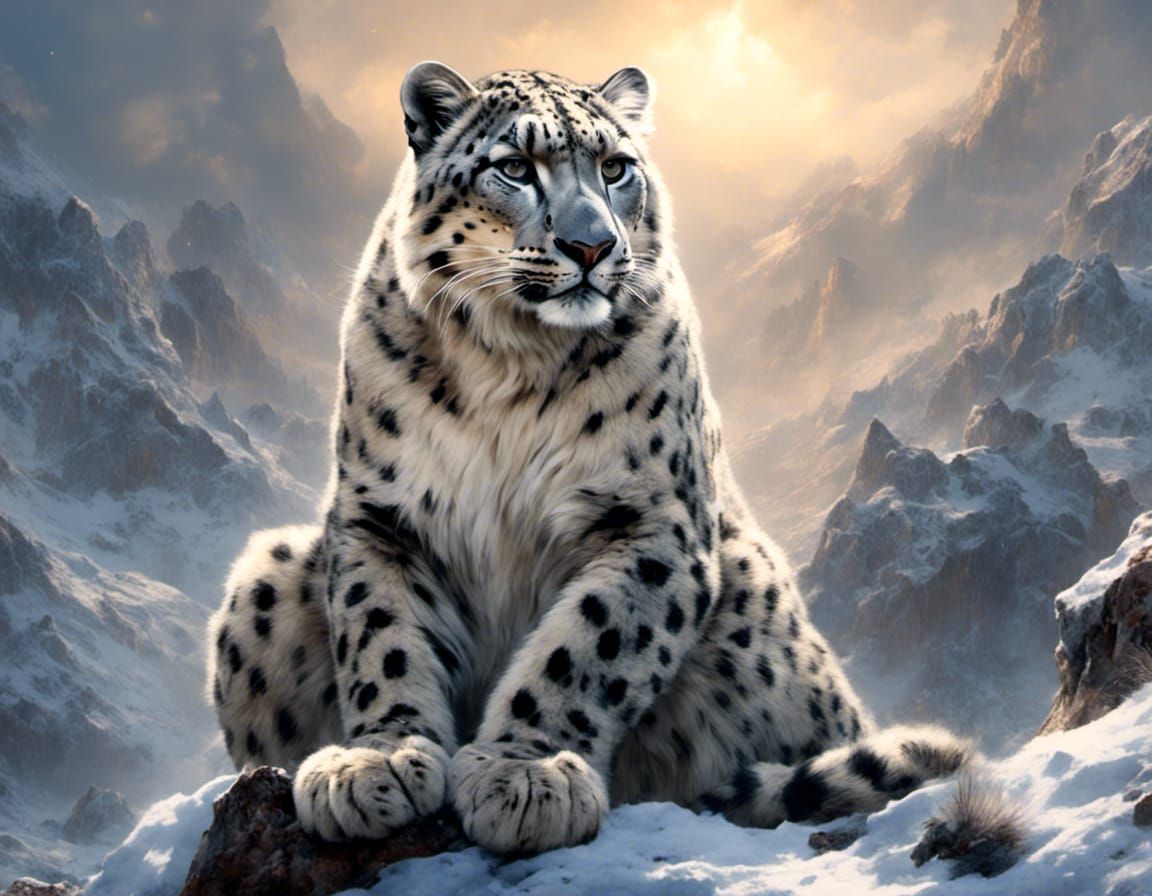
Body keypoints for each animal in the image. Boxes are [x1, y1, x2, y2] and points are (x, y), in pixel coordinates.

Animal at [205, 61, 969, 855]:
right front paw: (376, 761)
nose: (592, 246)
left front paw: (524, 773)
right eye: (515, 168)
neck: (508, 362)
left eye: (615, 168)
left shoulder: (652, 520)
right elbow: (382, 637)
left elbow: (585, 647)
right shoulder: (382, 519)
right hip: (268, 573)